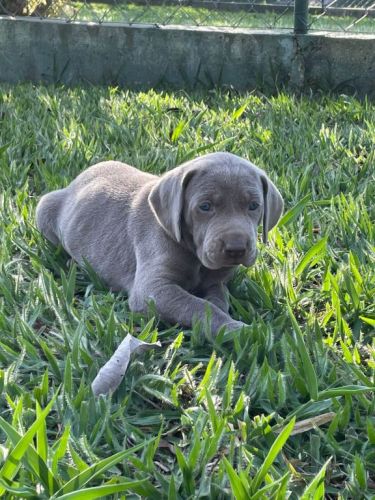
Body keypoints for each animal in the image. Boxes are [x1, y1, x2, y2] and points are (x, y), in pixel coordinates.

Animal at [36, 150, 284, 334]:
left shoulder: (217, 282)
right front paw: (236, 330)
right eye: (205, 206)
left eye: (254, 206)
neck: (193, 254)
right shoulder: (151, 289)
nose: (236, 249)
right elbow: (198, 306)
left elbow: (216, 300)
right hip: (44, 207)